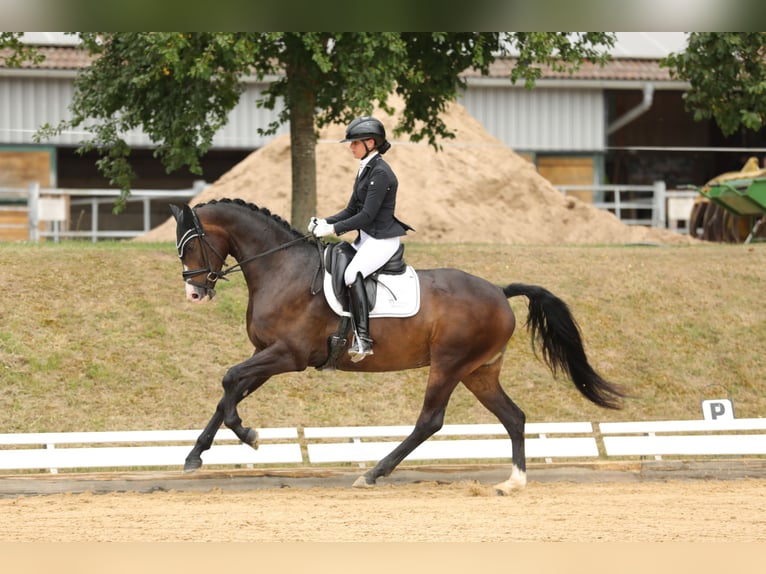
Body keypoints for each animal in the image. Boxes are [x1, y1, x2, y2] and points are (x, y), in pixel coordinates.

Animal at [170, 199, 624, 496]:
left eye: (191, 244)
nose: (194, 293)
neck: (282, 269)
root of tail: (498, 290)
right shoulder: (267, 355)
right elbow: (229, 391)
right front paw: (195, 456)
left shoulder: (288, 355)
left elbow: (229, 380)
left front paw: (249, 435)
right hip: (479, 372)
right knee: (513, 417)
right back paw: (513, 482)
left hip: (449, 365)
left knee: (430, 421)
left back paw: (373, 473)